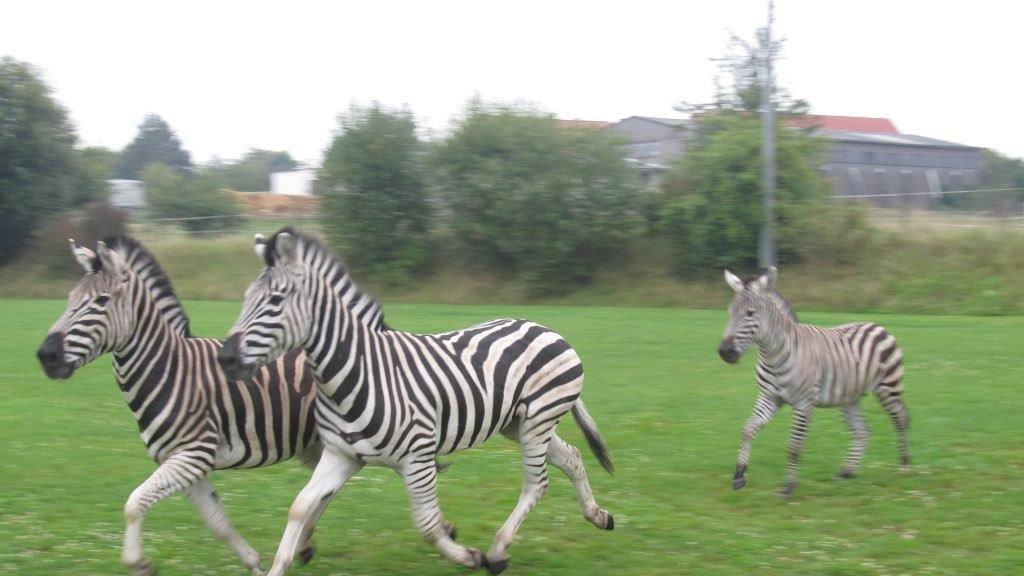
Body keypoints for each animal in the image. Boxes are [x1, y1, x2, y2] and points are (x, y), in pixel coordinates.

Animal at [36, 234, 323, 573]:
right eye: (70, 299)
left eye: (101, 301)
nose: (46, 356)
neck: (170, 369)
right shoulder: (180, 462)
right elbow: (218, 523)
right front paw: (254, 564)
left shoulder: (192, 455)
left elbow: (134, 504)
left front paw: (139, 563)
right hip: (314, 445)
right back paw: (304, 545)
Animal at [218, 228, 614, 573]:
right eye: (245, 298)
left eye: (275, 300)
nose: (225, 359)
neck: (358, 371)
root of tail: (543, 327)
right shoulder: (341, 455)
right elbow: (300, 508)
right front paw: (281, 564)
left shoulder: (418, 458)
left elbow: (427, 524)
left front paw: (470, 557)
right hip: (517, 424)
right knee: (571, 457)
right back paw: (598, 516)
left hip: (537, 420)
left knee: (536, 483)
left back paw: (499, 551)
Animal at [716, 266, 909, 496]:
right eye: (729, 312)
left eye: (750, 313)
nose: (725, 352)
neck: (775, 354)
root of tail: (875, 324)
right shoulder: (769, 397)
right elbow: (747, 430)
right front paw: (739, 475)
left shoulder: (803, 403)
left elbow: (794, 447)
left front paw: (788, 487)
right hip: (850, 397)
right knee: (862, 431)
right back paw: (847, 472)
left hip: (888, 387)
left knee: (901, 419)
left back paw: (904, 466)